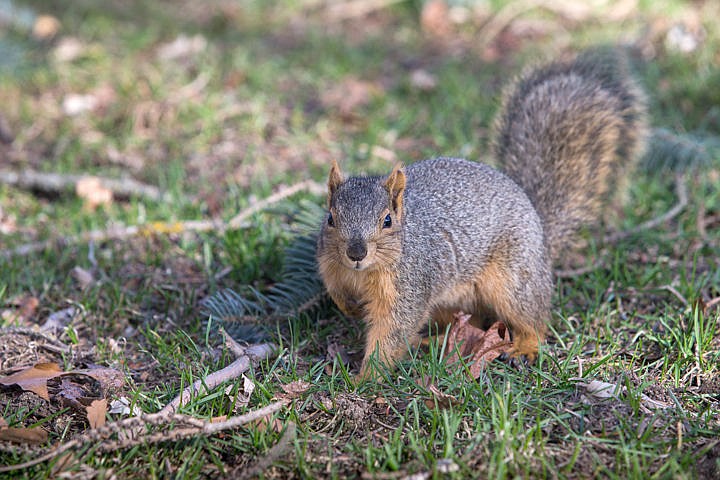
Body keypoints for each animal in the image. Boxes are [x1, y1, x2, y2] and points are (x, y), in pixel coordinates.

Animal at [316, 50, 648, 376]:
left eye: (387, 221)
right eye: (331, 218)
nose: (356, 253)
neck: (362, 274)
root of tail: (539, 225)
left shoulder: (409, 287)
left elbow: (392, 331)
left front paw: (366, 378)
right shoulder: (330, 266)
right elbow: (336, 291)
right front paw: (350, 307)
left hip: (514, 280)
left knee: (533, 319)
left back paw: (524, 348)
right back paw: (432, 342)